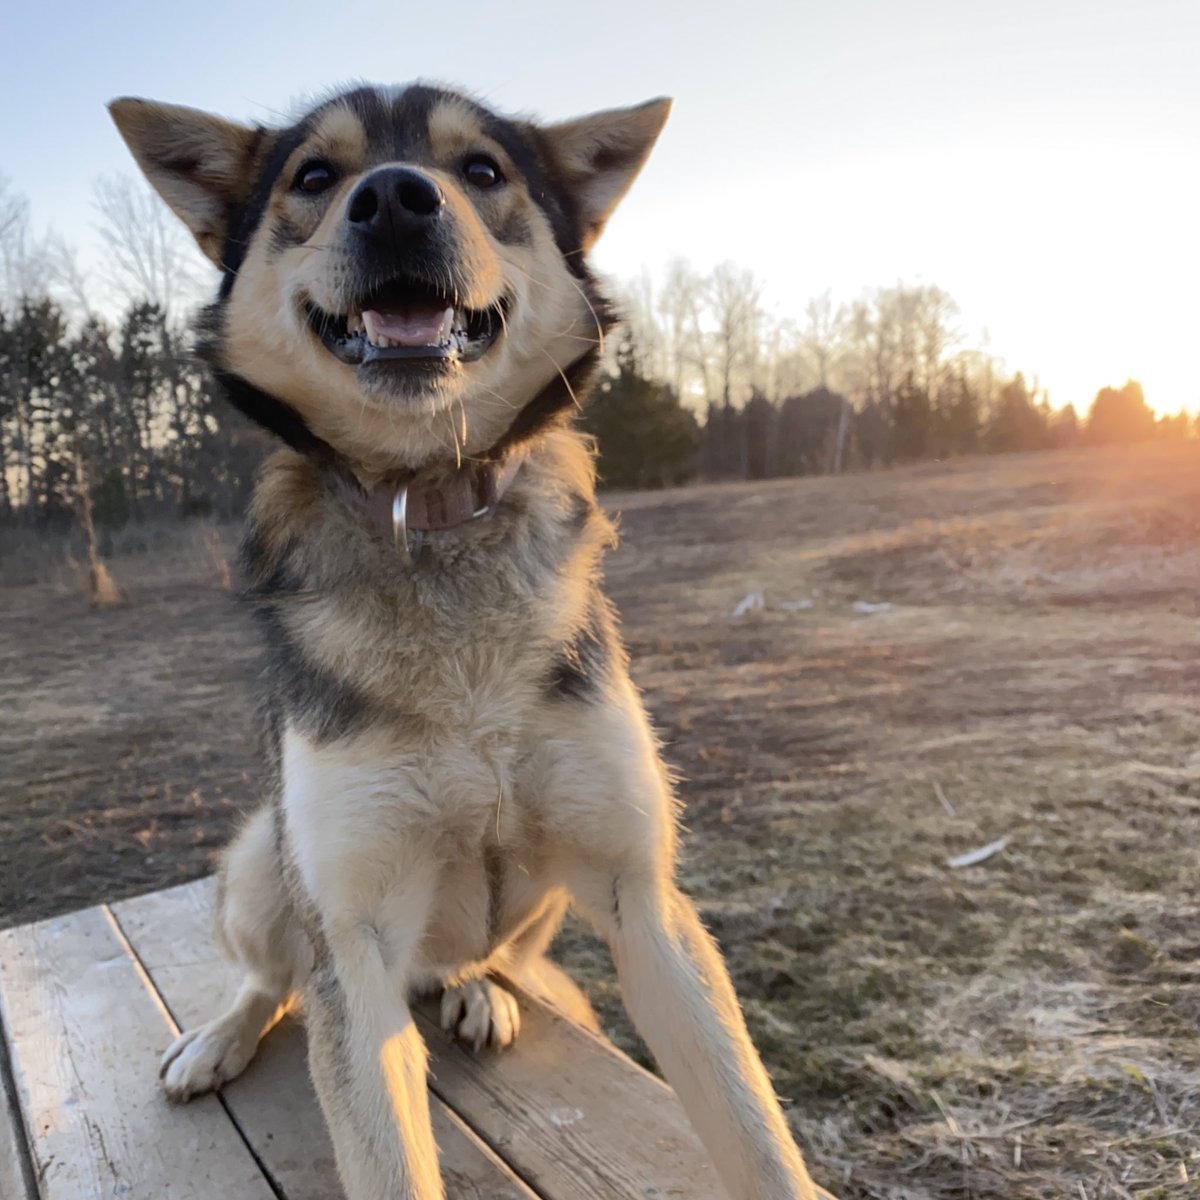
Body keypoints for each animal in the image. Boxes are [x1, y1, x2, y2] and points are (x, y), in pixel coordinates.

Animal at [112, 84, 820, 1200]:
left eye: (482, 170)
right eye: (316, 176)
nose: (395, 201)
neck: (432, 502)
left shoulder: (642, 898)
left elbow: (756, 1138)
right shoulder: (351, 941)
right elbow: (379, 1139)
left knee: (476, 959)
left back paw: (481, 987)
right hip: (263, 862)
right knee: (268, 980)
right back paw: (217, 1039)